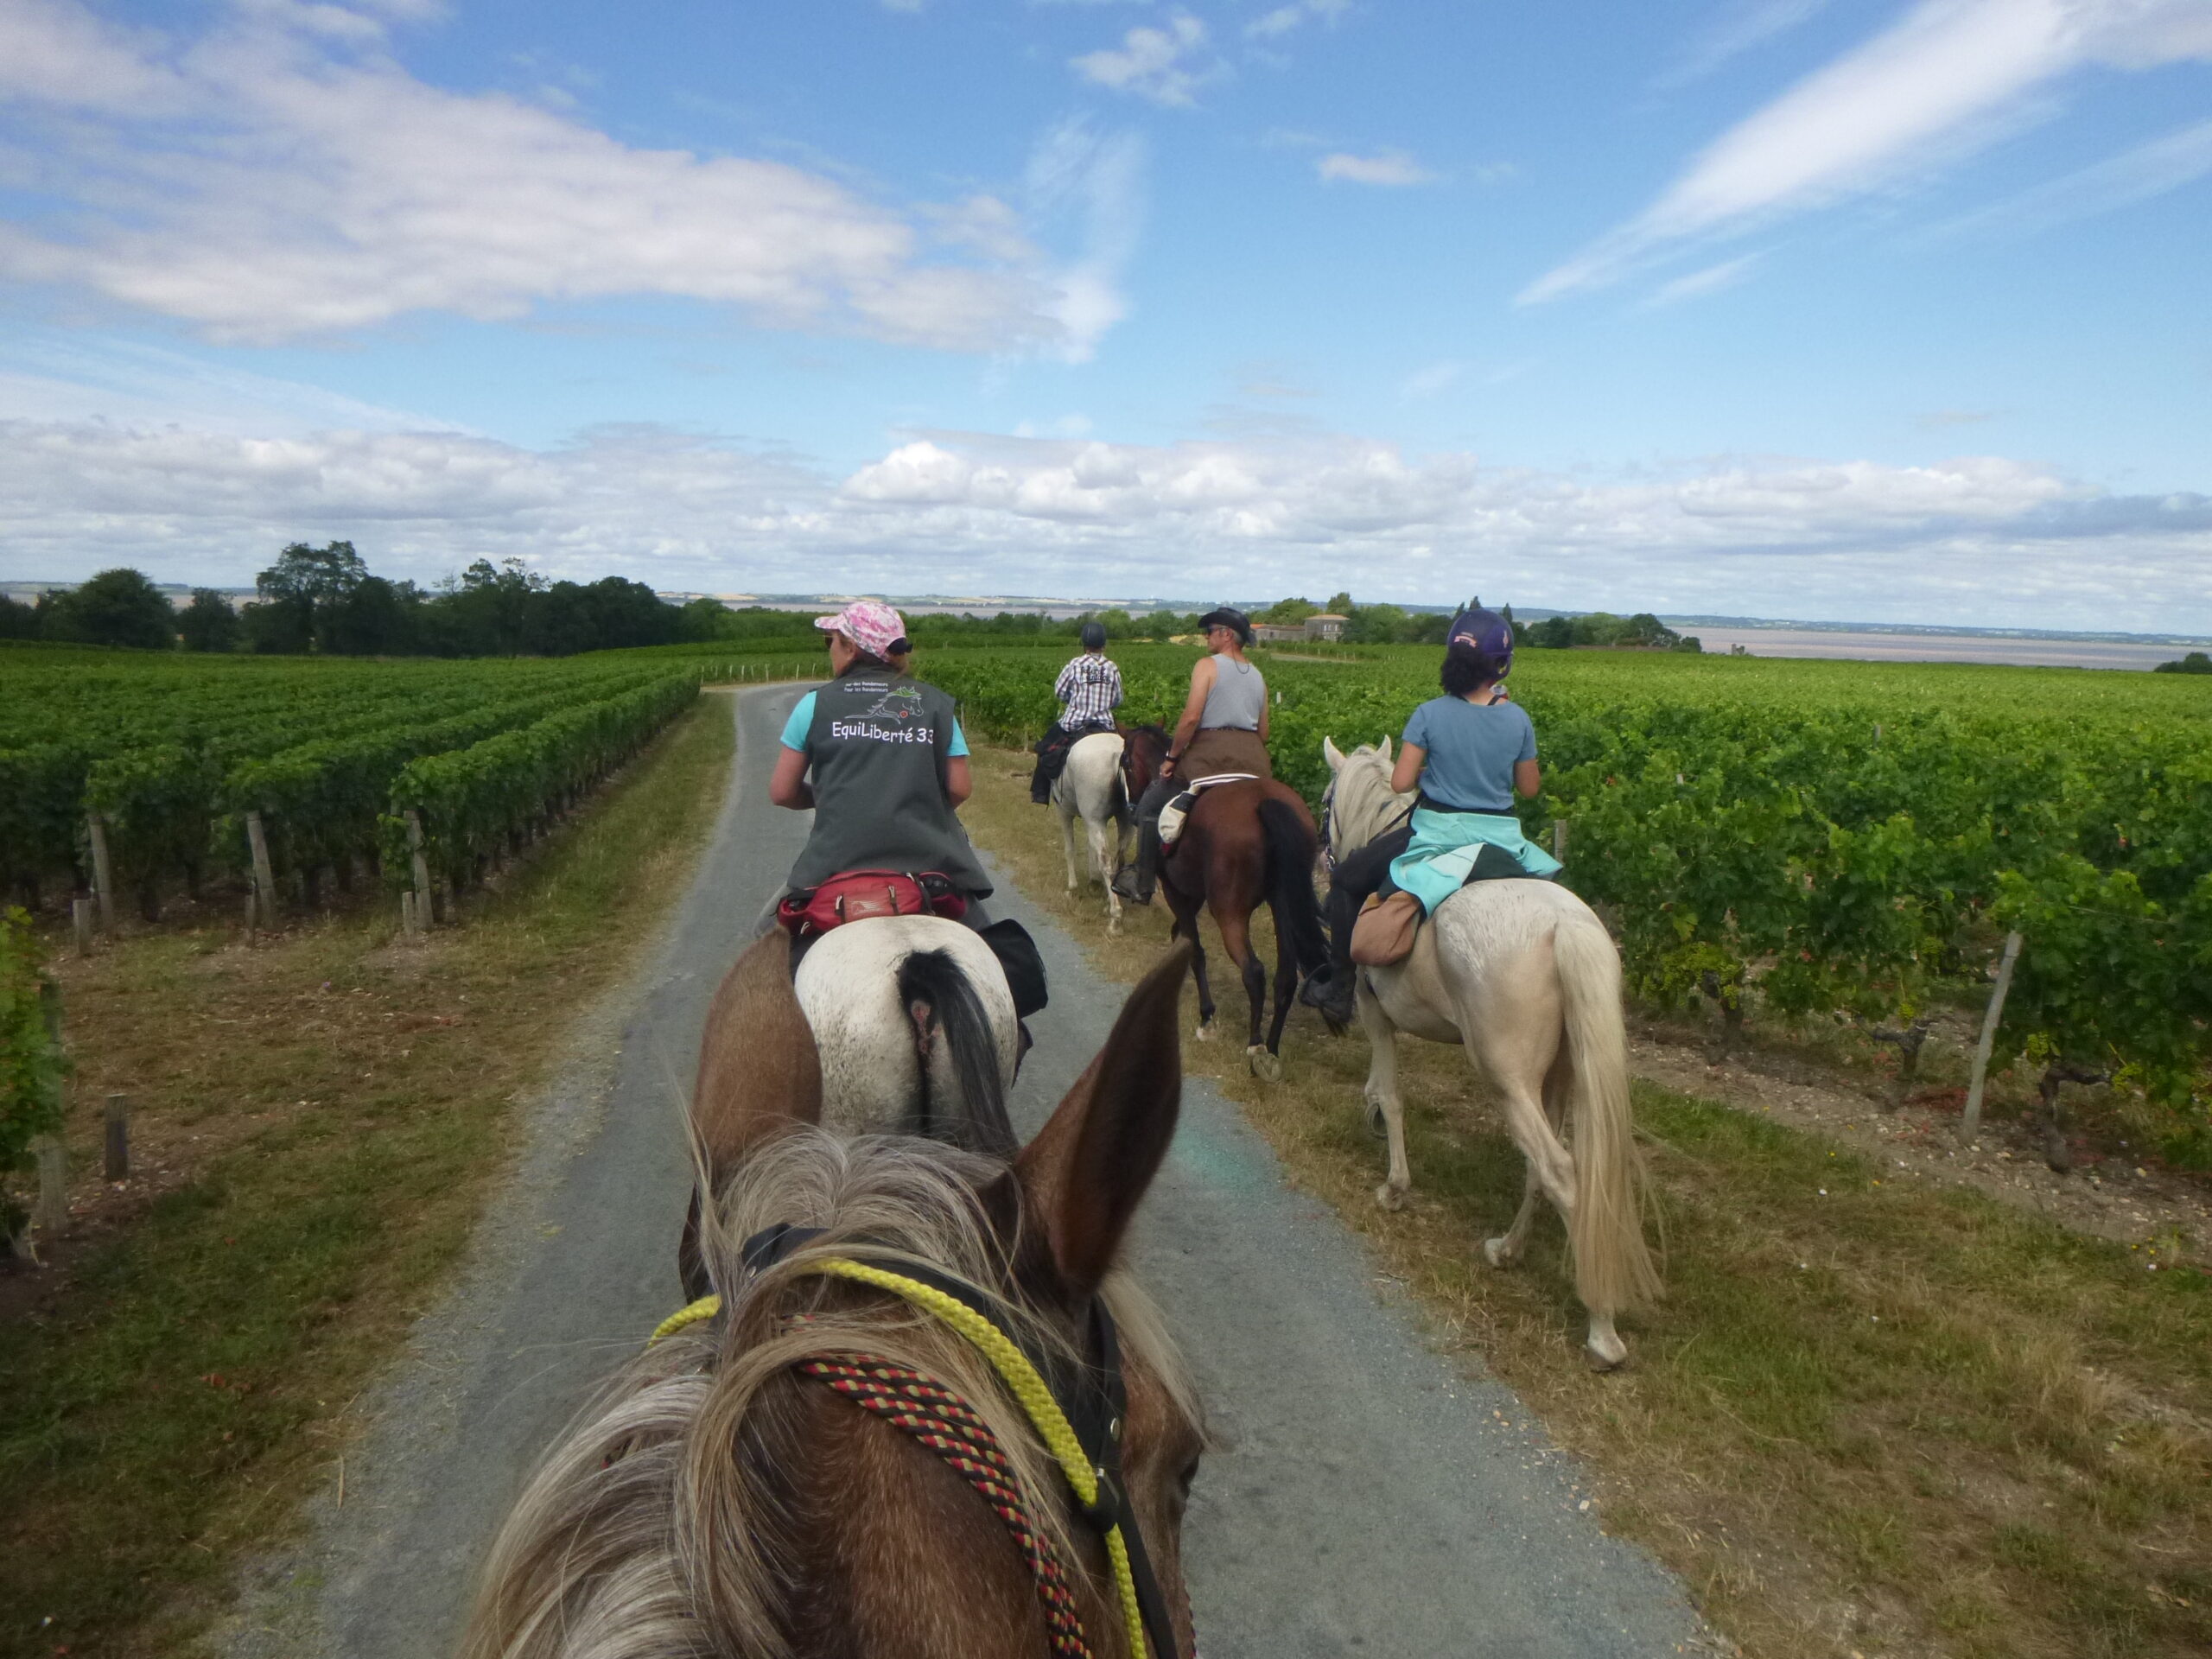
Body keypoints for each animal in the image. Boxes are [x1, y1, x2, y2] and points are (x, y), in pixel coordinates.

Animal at [1048, 734, 1132, 929]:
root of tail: (1117, 754)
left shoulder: (1063, 811)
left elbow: (1069, 849)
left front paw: (1072, 887)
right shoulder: (1091, 821)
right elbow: (1089, 848)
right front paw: (1094, 882)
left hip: (1094, 820)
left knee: (1106, 862)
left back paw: (1115, 917)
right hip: (1124, 819)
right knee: (1119, 858)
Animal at [1115, 725, 1318, 1084]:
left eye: (1125, 761)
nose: (1132, 805)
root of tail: (1265, 801)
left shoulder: (1176, 891)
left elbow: (1193, 948)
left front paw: (1206, 1018)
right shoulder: (1193, 893)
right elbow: (1180, 938)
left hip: (1229, 910)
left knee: (1253, 970)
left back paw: (1254, 1046)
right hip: (1282, 905)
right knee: (1285, 978)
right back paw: (1271, 1051)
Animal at [1309, 739, 1663, 1362]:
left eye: (1328, 801)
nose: (1321, 850)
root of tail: (1561, 924)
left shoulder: (1376, 1015)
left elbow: (1391, 1094)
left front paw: (1394, 1187)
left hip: (1507, 1077)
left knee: (1558, 1170)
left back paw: (1601, 1329)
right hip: (1558, 1077)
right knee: (1544, 1169)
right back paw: (1507, 1250)